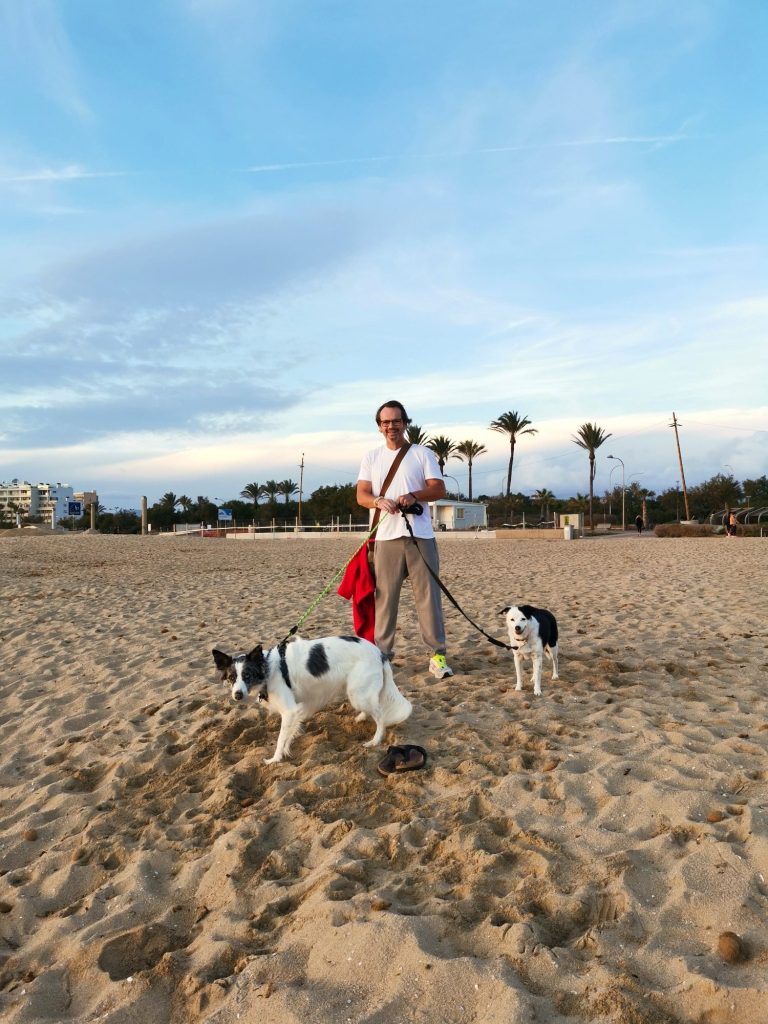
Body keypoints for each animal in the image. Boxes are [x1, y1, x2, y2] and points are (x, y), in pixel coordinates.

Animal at [210, 634, 415, 765]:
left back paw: (375, 740)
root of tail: (379, 653)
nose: (237, 695)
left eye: (247, 675)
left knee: (380, 716)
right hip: (358, 692)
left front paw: (275, 759)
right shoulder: (295, 710)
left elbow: (280, 738)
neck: (267, 668)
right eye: (231, 678)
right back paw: (362, 718)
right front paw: (286, 750)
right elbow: (288, 734)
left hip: (358, 693)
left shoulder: (289, 711)